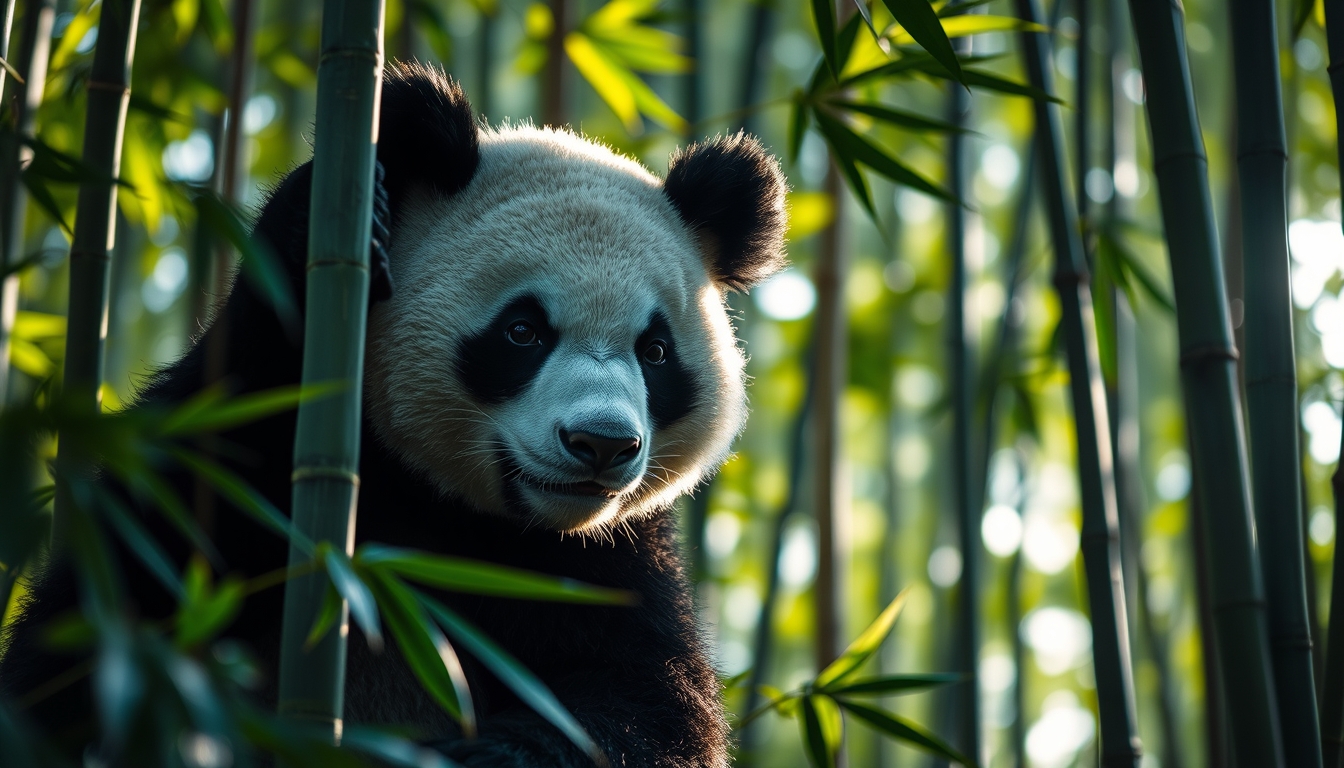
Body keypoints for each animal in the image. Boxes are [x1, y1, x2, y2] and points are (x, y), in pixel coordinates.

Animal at [0, 62, 787, 767]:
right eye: (522, 332)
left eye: (655, 351)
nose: (600, 443)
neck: (442, 506)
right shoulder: (234, 450)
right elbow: (95, 642)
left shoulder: (603, 561)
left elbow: (647, 702)